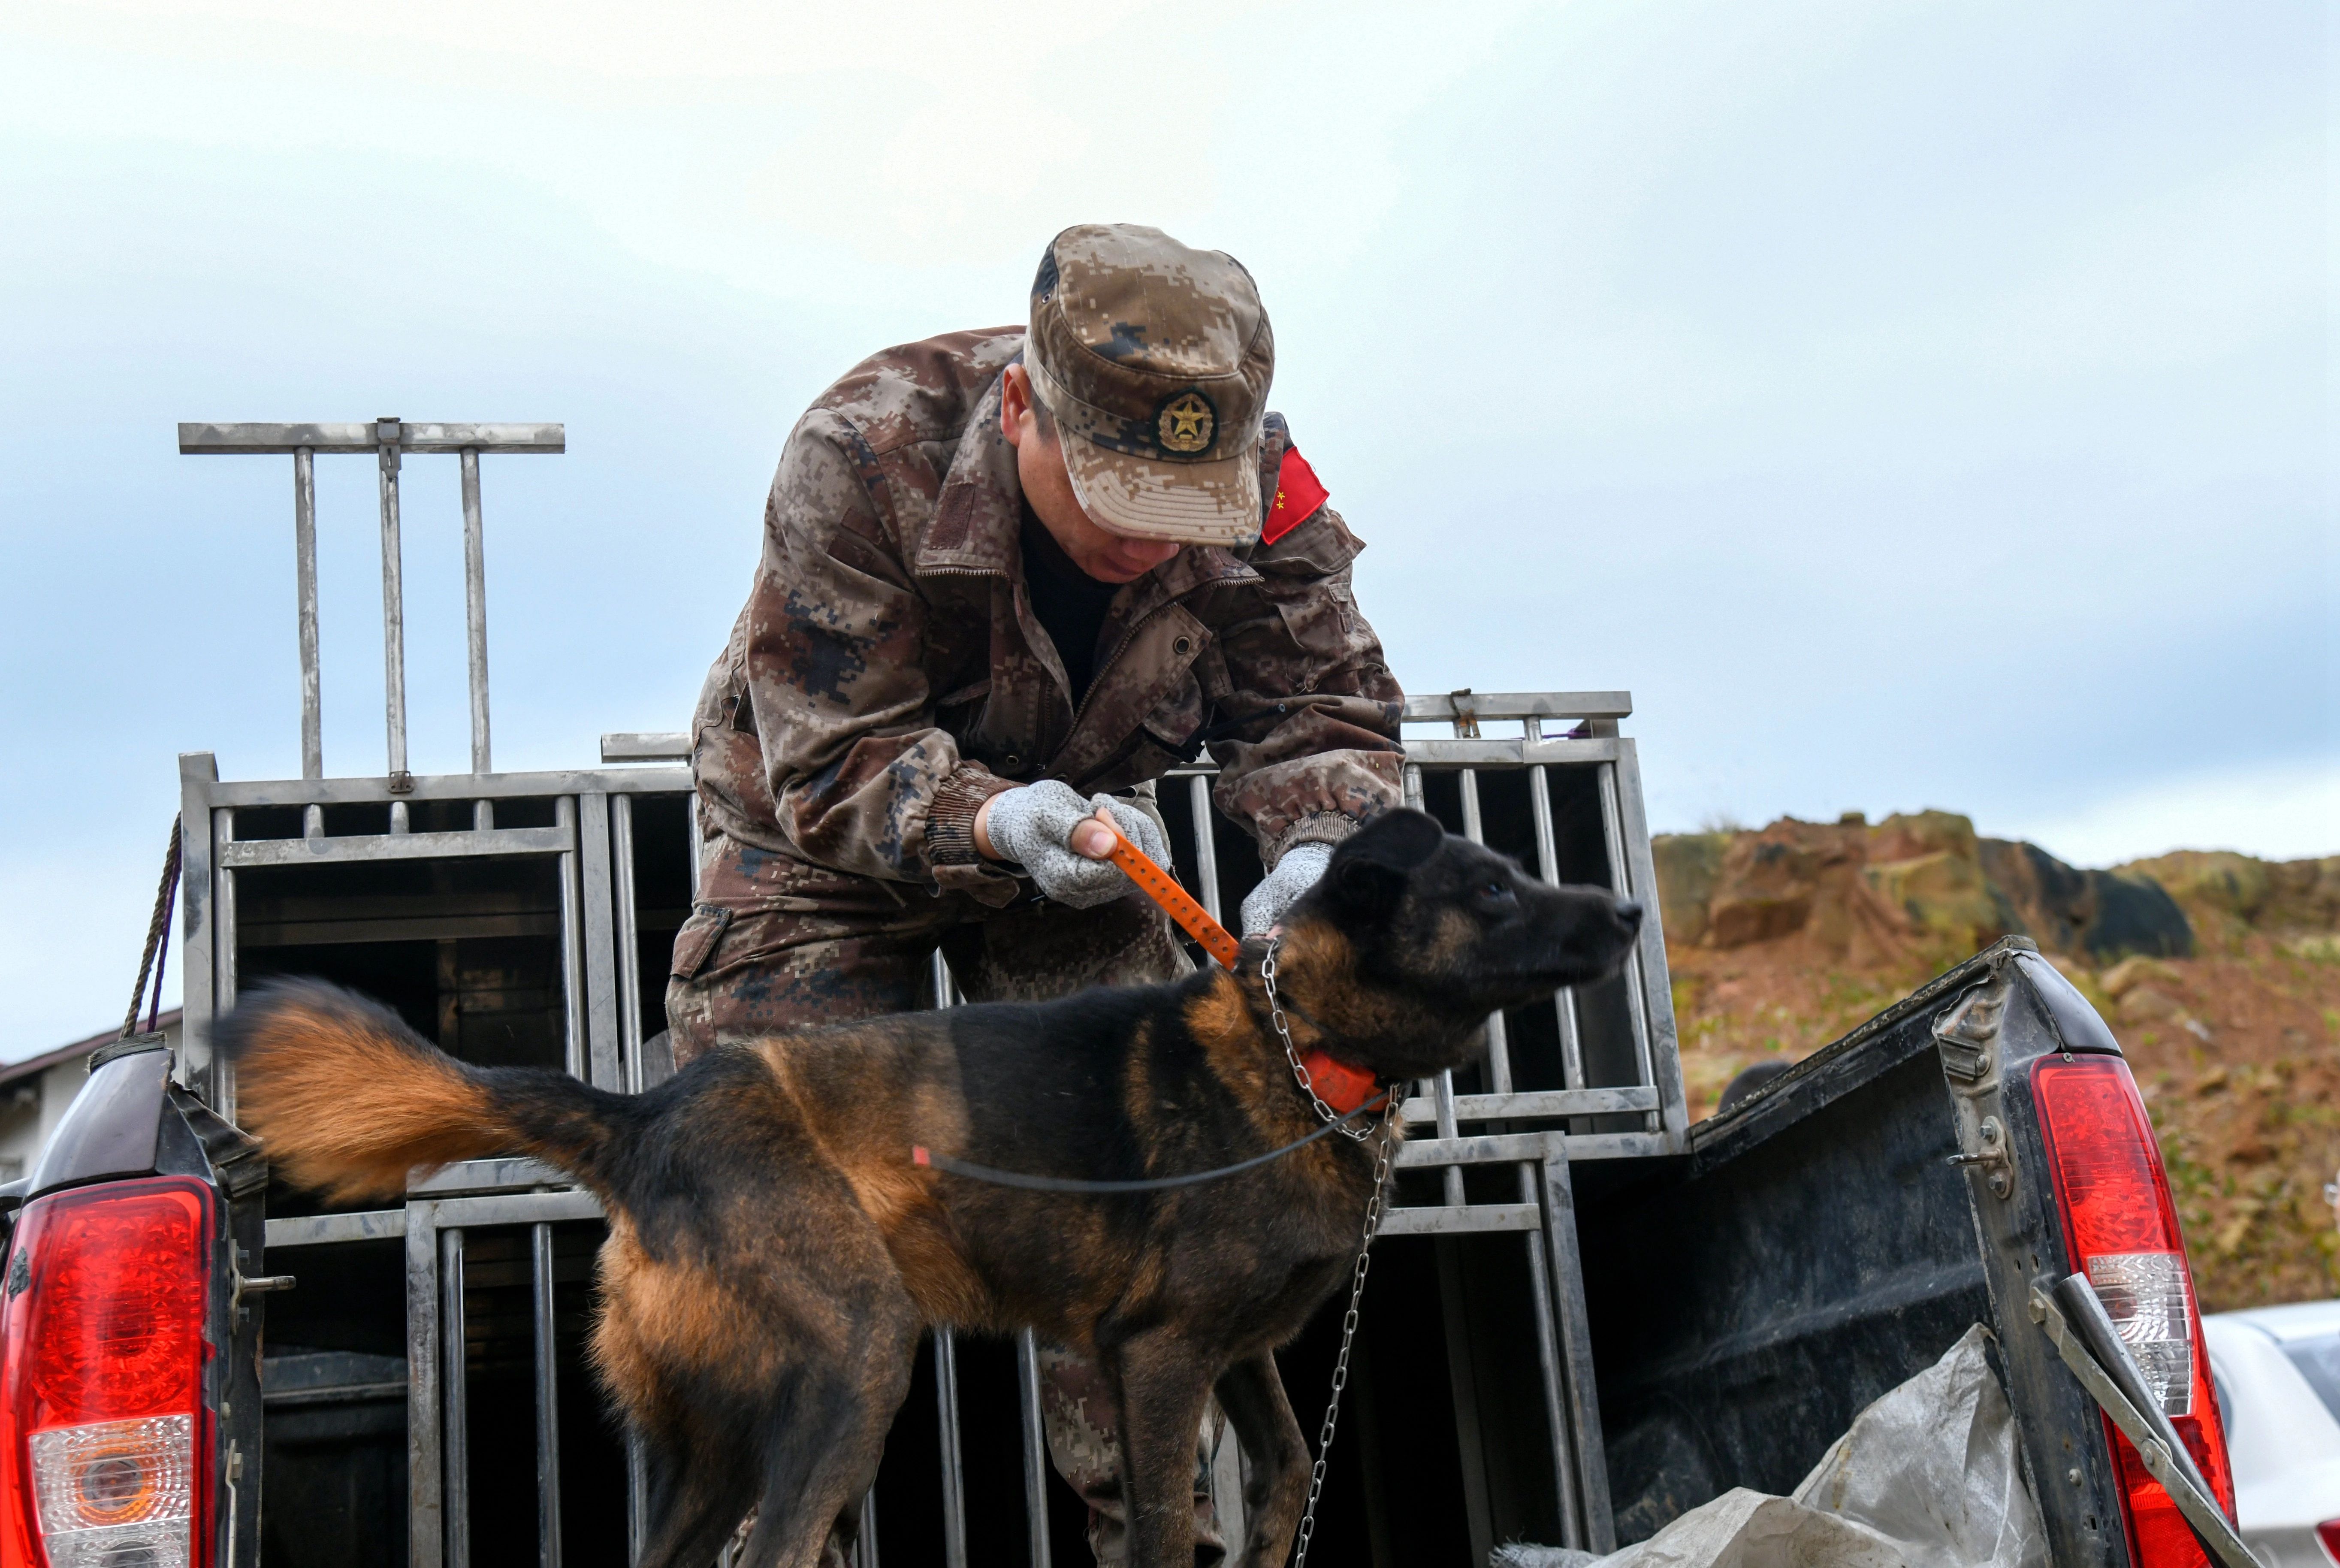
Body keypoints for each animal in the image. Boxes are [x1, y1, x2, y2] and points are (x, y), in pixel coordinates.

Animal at [223, 810, 1647, 1568]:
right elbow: (1159, 1528)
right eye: (1493, 887)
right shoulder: (1158, 1356)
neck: (1298, 1050)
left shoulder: (1236, 1353)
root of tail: (646, 1115)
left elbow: (1292, 1471)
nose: (1629, 912)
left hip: (712, 1441)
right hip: (851, 1361)